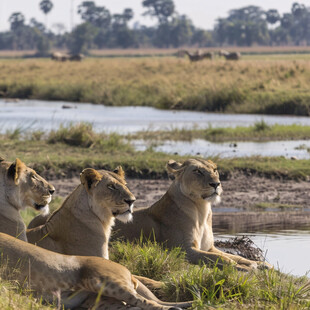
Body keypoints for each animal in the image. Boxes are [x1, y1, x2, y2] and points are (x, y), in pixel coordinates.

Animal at [0, 232, 189, 310]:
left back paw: (174, 309)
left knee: (145, 302)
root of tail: (129, 272)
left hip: (104, 281)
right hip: (100, 301)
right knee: (131, 307)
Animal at [111, 159, 272, 270]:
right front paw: (240, 266)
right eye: (198, 171)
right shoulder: (183, 250)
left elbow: (234, 256)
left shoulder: (209, 247)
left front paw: (259, 263)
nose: (216, 184)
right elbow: (220, 259)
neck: (202, 210)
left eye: (215, 170)